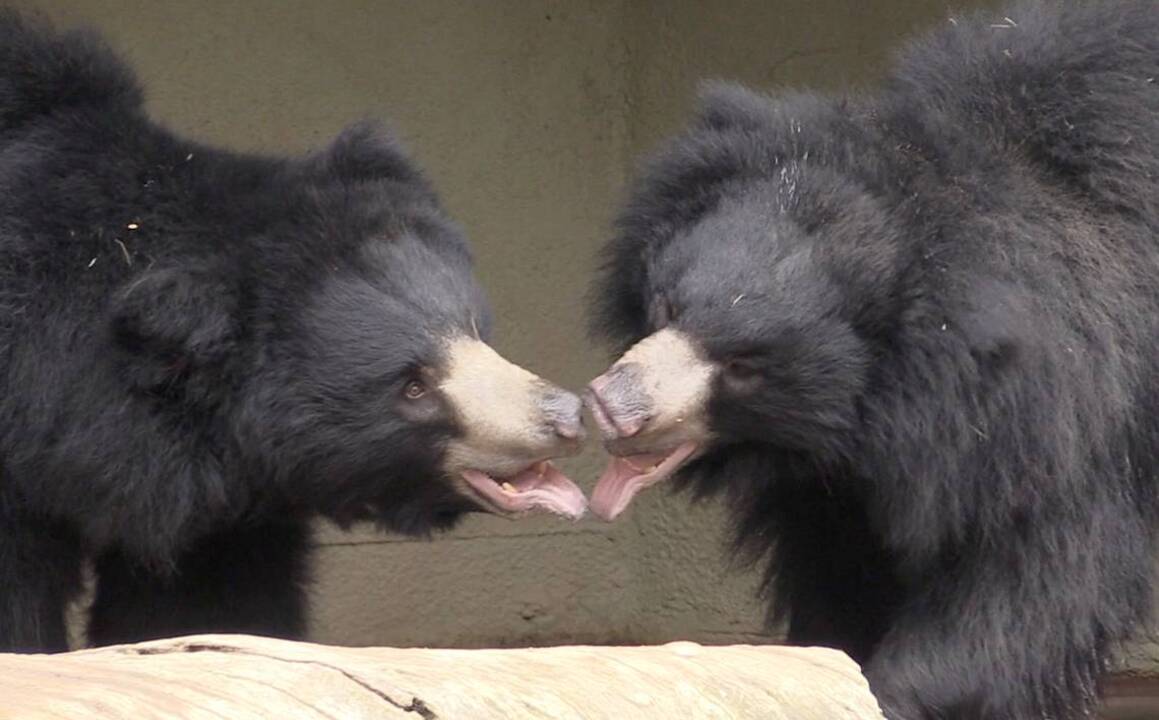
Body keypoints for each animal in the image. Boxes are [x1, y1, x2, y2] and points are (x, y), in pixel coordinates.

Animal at [584, 1, 1159, 718]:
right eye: (666, 306)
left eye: (745, 366)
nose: (612, 405)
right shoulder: (840, 486)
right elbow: (842, 573)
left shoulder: (1076, 430)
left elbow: (1035, 585)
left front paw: (896, 689)